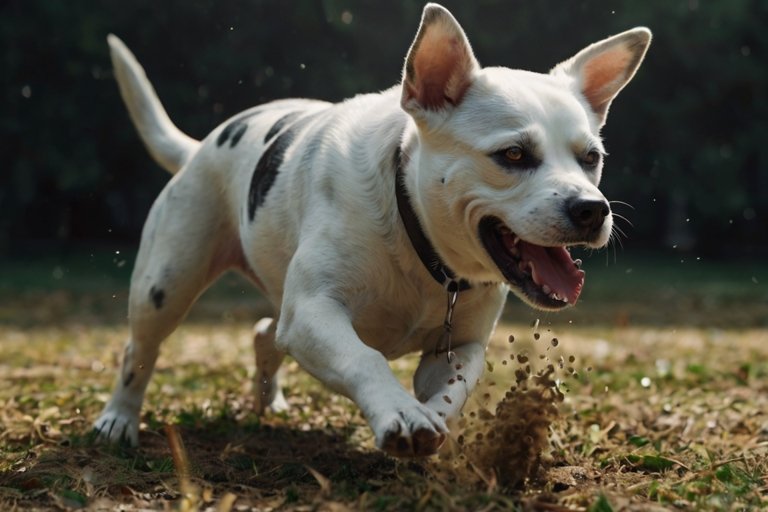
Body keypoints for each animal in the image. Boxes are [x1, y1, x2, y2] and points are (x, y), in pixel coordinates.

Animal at [94, 2, 648, 458]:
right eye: (512, 155)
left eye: (591, 158)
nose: (592, 209)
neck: (416, 236)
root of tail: (199, 148)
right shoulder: (315, 312)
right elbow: (365, 359)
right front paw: (399, 412)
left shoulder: (460, 346)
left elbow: (454, 389)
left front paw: (433, 421)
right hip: (166, 285)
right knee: (140, 352)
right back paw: (118, 420)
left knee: (266, 332)